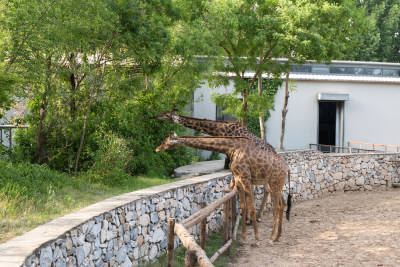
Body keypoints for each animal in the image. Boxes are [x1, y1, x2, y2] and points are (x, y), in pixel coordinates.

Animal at [155, 133, 292, 246]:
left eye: (167, 141)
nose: (157, 148)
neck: (231, 149)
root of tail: (288, 168)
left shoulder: (246, 179)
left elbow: (252, 208)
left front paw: (256, 240)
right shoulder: (238, 180)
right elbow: (243, 207)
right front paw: (243, 239)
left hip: (275, 183)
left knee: (276, 207)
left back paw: (270, 239)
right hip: (275, 184)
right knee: (282, 204)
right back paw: (277, 236)